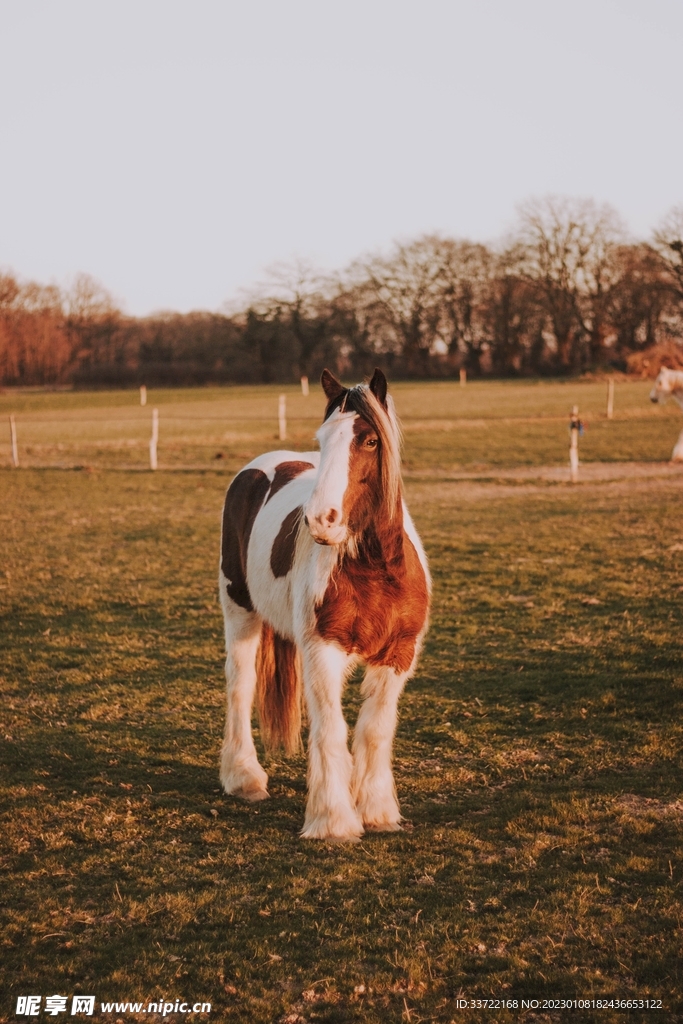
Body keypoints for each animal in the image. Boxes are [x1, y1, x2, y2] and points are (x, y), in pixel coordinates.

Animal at [218, 369, 431, 842]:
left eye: (369, 440)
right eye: (322, 438)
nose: (319, 520)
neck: (375, 569)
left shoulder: (398, 655)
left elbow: (374, 730)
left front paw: (378, 811)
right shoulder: (322, 649)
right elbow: (332, 729)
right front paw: (333, 821)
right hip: (239, 610)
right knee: (240, 687)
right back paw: (244, 777)